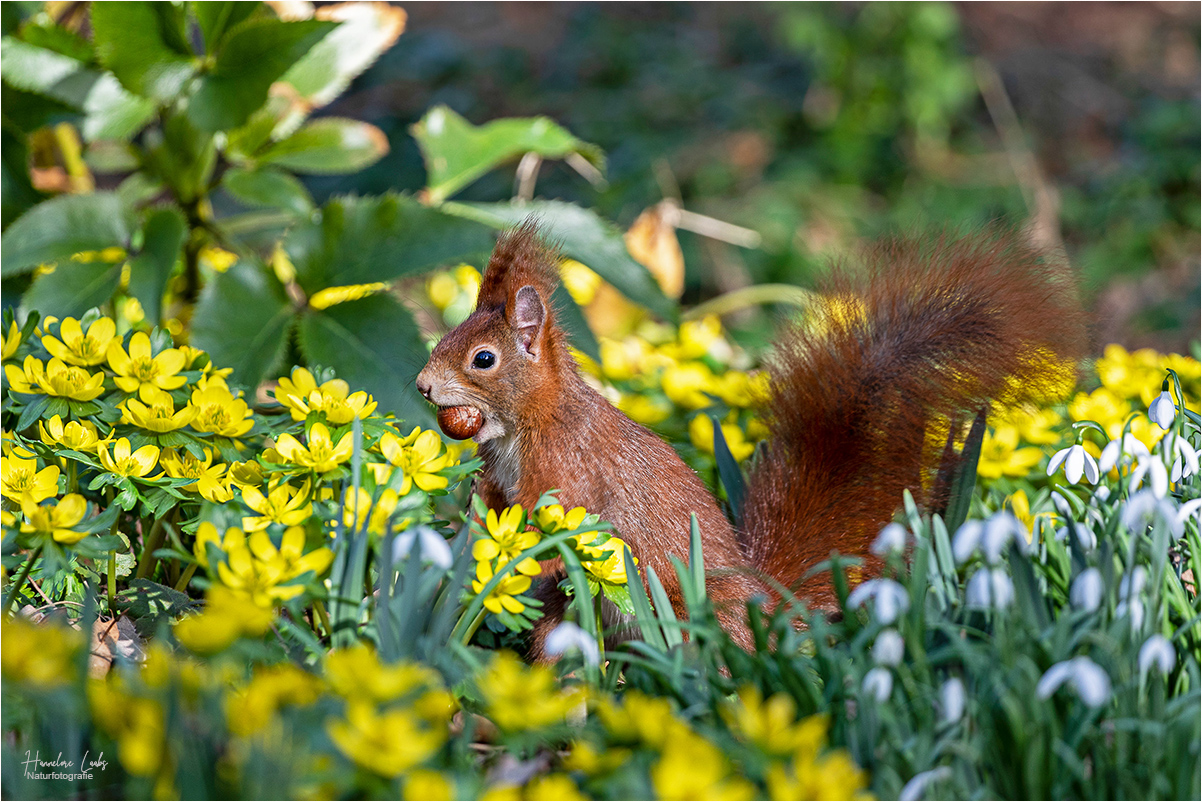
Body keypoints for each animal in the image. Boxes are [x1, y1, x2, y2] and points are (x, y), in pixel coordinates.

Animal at [418, 221, 1086, 658]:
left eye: (482, 359)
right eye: (445, 336)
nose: (423, 386)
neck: (529, 421)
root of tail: (767, 607)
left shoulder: (569, 467)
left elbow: (561, 519)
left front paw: (530, 552)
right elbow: (495, 502)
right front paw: (472, 524)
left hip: (687, 607)